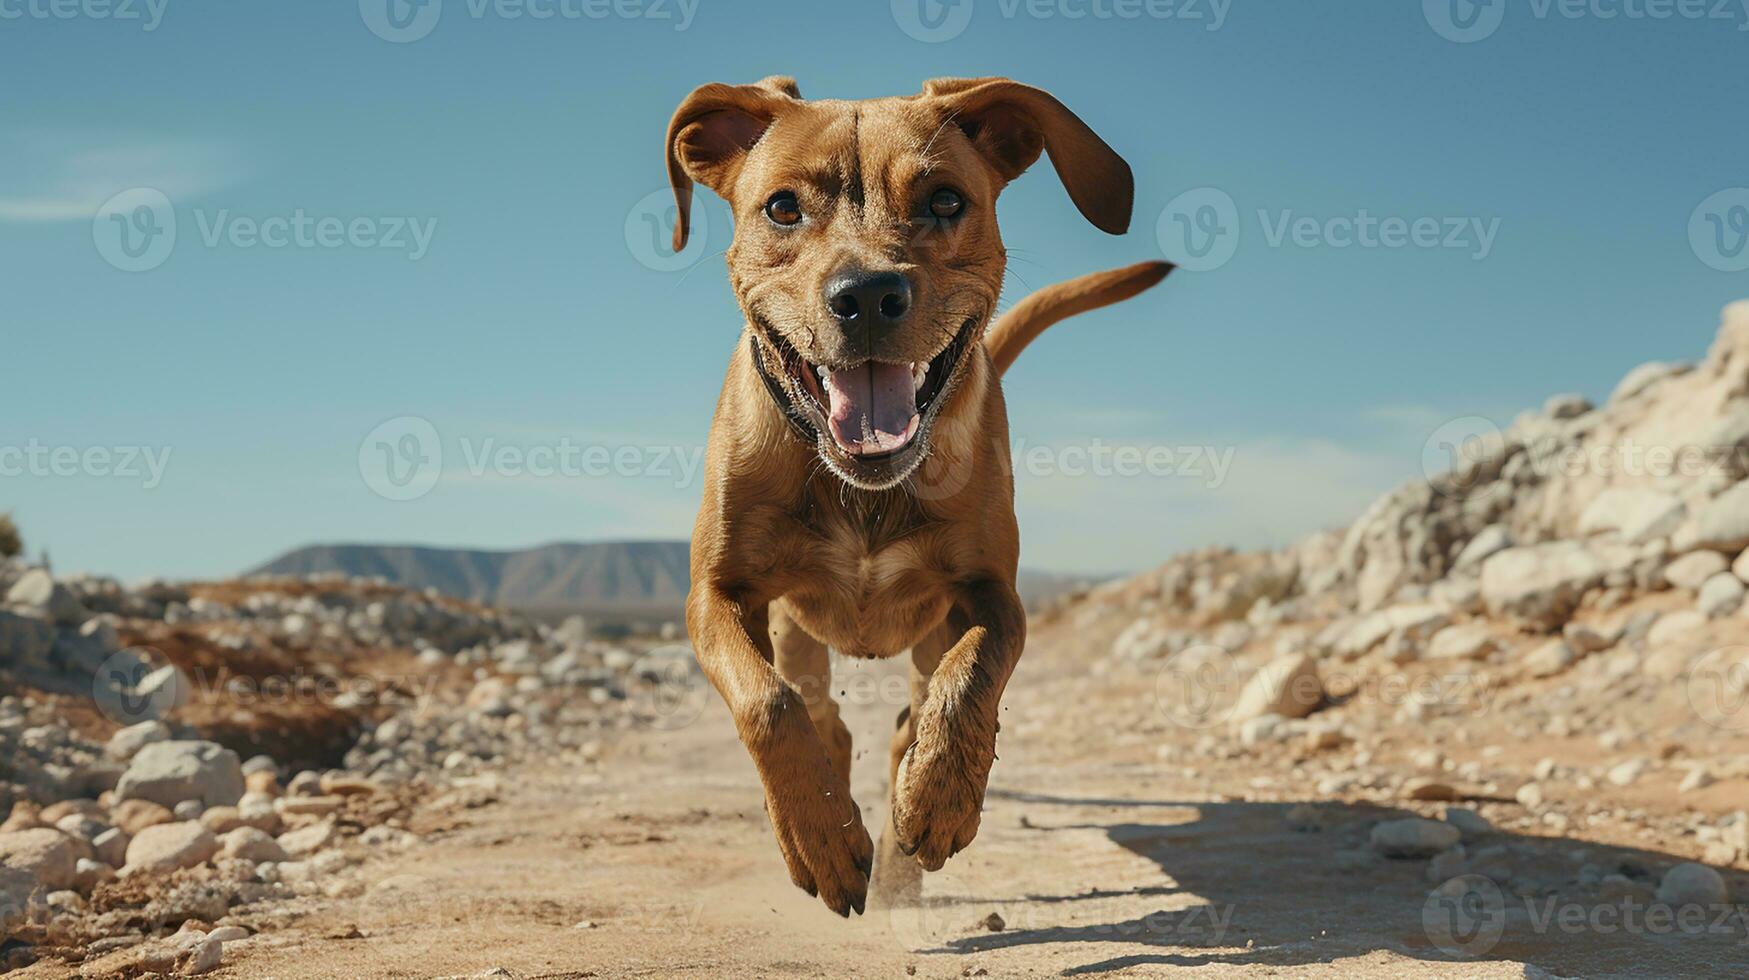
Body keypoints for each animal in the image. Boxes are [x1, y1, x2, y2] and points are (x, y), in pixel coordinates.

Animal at [668, 76, 1175, 917]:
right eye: (781, 208)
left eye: (943, 200)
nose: (867, 294)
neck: (863, 491)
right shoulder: (717, 593)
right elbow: (769, 706)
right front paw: (820, 837)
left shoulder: (991, 591)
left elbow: (971, 679)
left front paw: (938, 801)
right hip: (795, 627)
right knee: (818, 709)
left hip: (926, 629)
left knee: (910, 710)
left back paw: (905, 840)